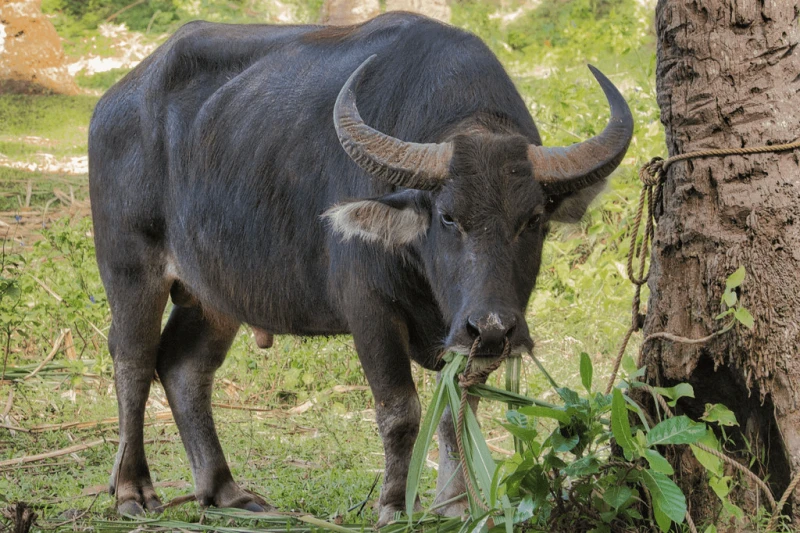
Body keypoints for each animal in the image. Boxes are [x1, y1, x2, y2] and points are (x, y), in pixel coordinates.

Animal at [89, 12, 632, 525]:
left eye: (533, 219)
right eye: (448, 216)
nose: (495, 328)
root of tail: (115, 102)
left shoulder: (465, 336)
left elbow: (456, 411)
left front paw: (455, 505)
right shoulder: (370, 311)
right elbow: (400, 411)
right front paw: (394, 504)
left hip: (214, 293)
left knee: (184, 367)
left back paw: (226, 491)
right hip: (131, 267)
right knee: (133, 360)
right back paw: (133, 491)